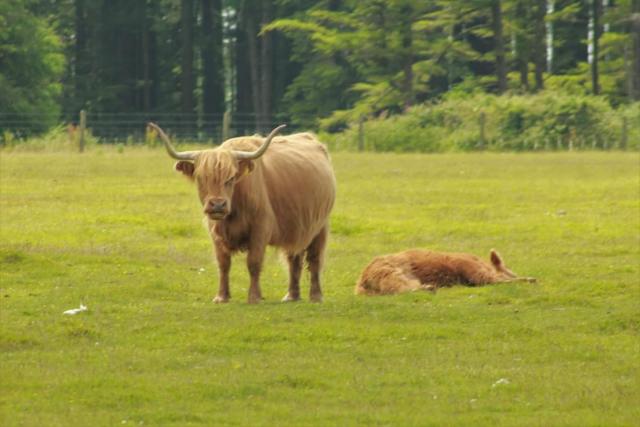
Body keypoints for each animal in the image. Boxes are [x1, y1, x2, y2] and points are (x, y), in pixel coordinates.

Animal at [151, 123, 338, 304]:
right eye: (200, 178)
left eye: (231, 178)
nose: (217, 204)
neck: (234, 211)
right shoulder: (215, 232)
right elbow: (223, 264)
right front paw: (221, 297)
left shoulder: (260, 228)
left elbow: (253, 263)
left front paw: (254, 297)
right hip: (297, 225)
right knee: (294, 258)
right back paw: (292, 296)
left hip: (320, 225)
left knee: (314, 259)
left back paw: (316, 296)